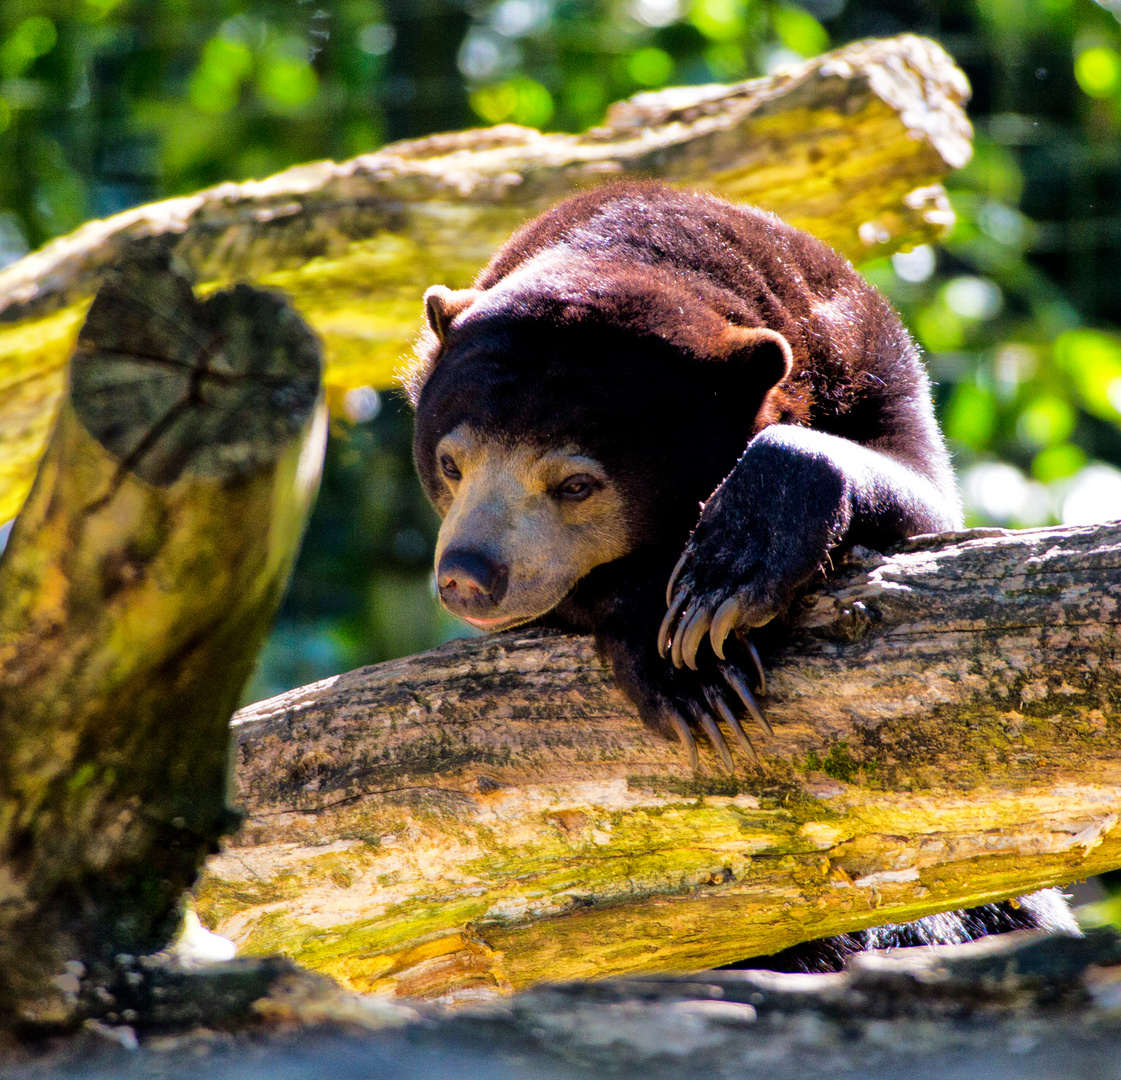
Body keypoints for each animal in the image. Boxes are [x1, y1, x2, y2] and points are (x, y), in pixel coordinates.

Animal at [403, 181, 1076, 968]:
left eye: (576, 484)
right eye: (451, 462)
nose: (467, 576)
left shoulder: (869, 352)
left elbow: (922, 502)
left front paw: (726, 577)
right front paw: (694, 675)